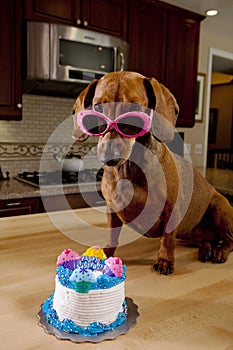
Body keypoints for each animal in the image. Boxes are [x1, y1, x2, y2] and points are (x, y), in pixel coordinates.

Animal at [72, 70, 232, 274]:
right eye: (98, 106)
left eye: (134, 109)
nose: (109, 157)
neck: (128, 170)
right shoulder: (112, 209)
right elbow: (112, 235)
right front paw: (106, 252)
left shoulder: (172, 209)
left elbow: (167, 238)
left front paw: (164, 260)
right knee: (207, 240)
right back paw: (206, 249)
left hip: (220, 207)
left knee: (228, 241)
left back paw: (219, 251)